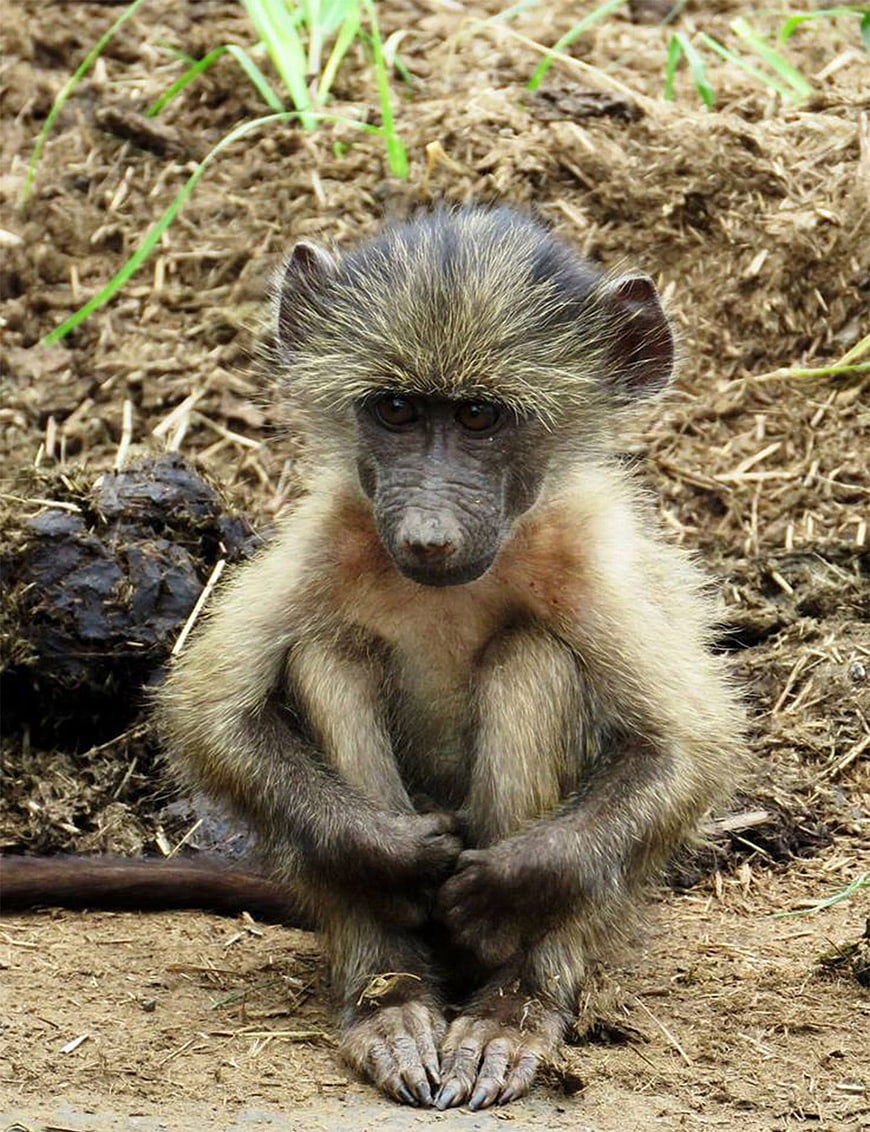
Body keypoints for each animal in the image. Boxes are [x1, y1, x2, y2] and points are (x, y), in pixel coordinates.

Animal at [3, 206, 745, 1110]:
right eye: (396, 410)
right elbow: (212, 717)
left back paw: (509, 1011)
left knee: (533, 657)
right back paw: (391, 1000)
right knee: (331, 651)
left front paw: (500, 884)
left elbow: (686, 751)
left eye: (479, 418)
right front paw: (401, 859)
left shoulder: (585, 558)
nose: (427, 536)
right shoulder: (331, 537)